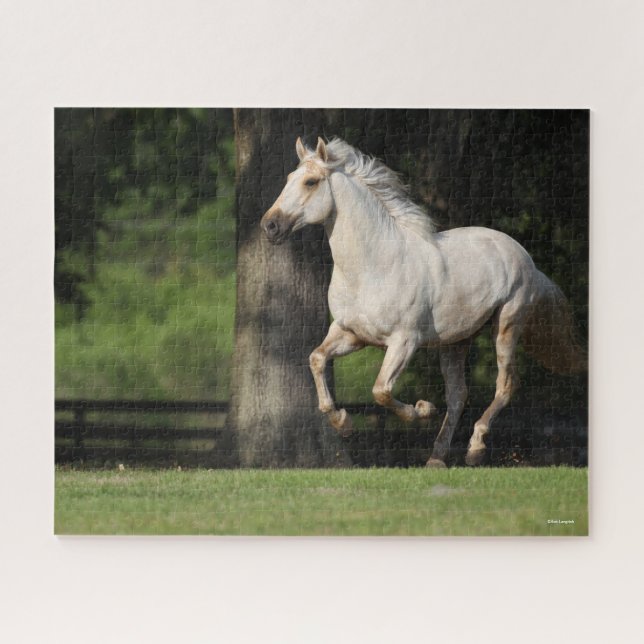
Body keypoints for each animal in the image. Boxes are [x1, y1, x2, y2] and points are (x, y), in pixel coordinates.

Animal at [260, 137, 586, 467]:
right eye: (289, 178)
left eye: (311, 182)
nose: (269, 225)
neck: (373, 267)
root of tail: (527, 259)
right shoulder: (351, 334)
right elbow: (316, 359)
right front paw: (343, 423)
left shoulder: (405, 341)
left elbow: (381, 390)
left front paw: (422, 409)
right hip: (456, 341)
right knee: (458, 394)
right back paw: (437, 458)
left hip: (506, 325)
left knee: (505, 385)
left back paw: (475, 449)